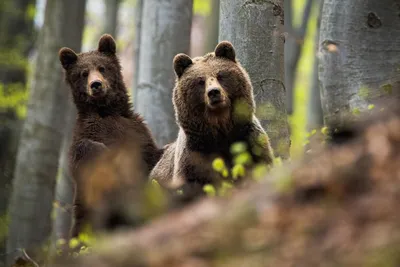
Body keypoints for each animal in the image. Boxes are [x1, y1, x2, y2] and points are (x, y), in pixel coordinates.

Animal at [57, 34, 162, 239]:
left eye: (102, 67)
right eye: (83, 73)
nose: (96, 85)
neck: (106, 110)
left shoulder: (137, 133)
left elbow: (152, 156)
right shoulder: (87, 132)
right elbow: (84, 154)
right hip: (85, 217)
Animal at [150, 40, 276, 202]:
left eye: (220, 75)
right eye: (200, 81)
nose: (214, 92)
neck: (220, 128)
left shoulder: (250, 141)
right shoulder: (194, 156)